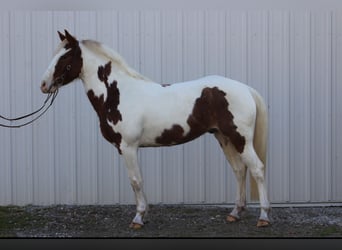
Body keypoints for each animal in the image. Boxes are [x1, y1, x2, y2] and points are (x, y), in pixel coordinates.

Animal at [39, 29, 270, 229]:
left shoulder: (129, 147)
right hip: (224, 137)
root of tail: (246, 89)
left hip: (240, 138)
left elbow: (136, 181)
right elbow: (138, 181)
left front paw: (138, 218)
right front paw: (144, 215)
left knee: (257, 169)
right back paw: (235, 213)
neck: (118, 93)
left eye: (65, 57)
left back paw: (264, 216)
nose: (43, 85)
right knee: (239, 170)